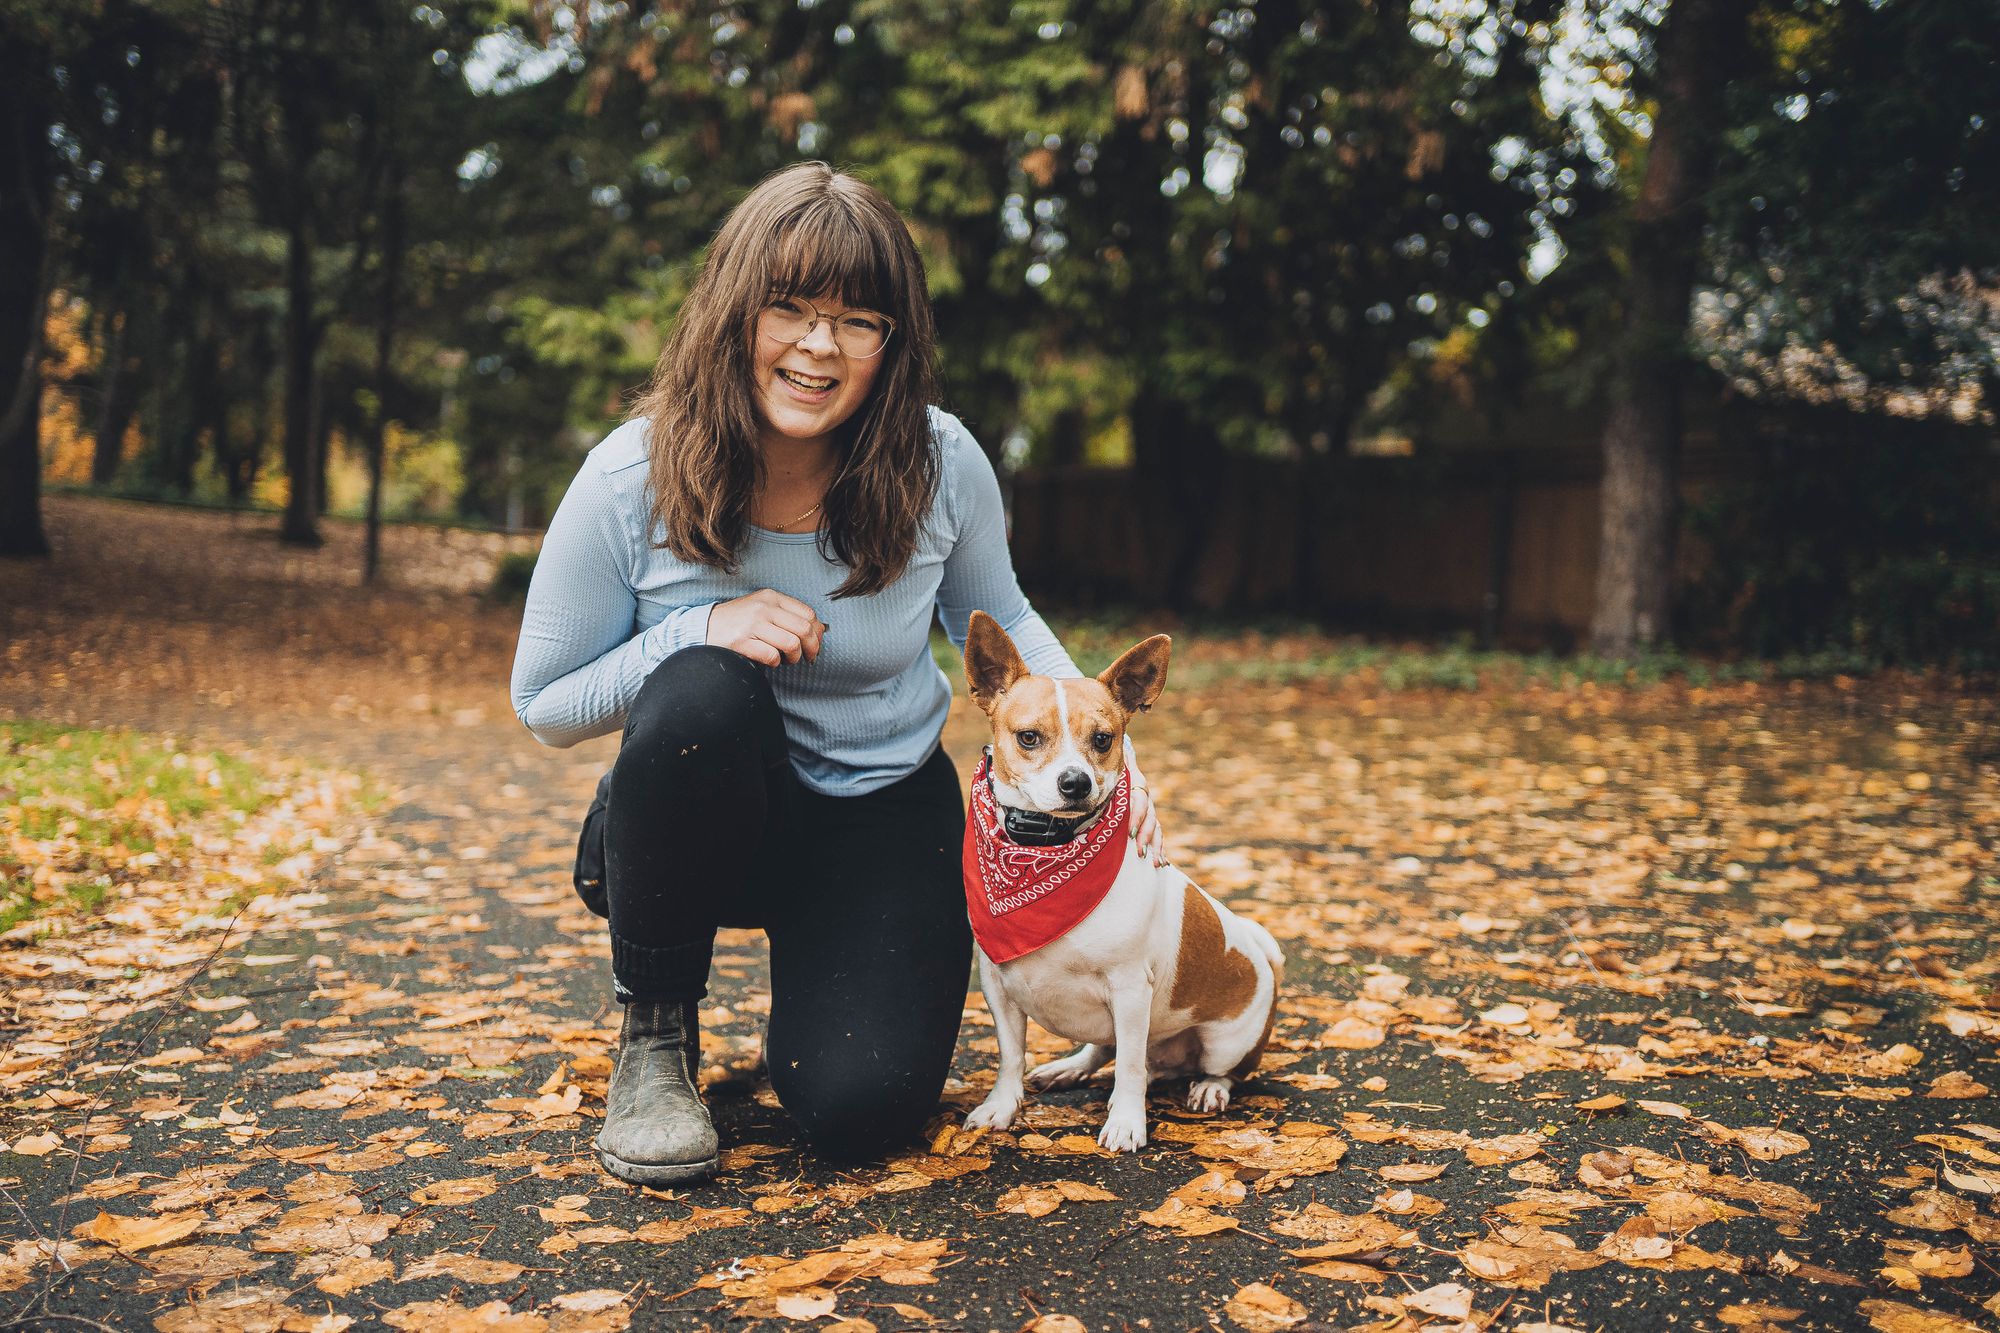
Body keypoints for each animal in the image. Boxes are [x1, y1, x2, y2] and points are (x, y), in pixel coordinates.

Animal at [964, 608, 1280, 1144]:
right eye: (1028, 737)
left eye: (1103, 739)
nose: (1076, 782)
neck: (1045, 854)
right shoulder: (998, 987)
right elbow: (1010, 1057)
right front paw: (1001, 1107)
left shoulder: (1131, 991)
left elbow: (1130, 1069)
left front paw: (1127, 1122)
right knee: (1105, 1049)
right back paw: (1069, 1067)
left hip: (1226, 1042)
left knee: (1212, 1069)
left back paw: (1208, 1089)